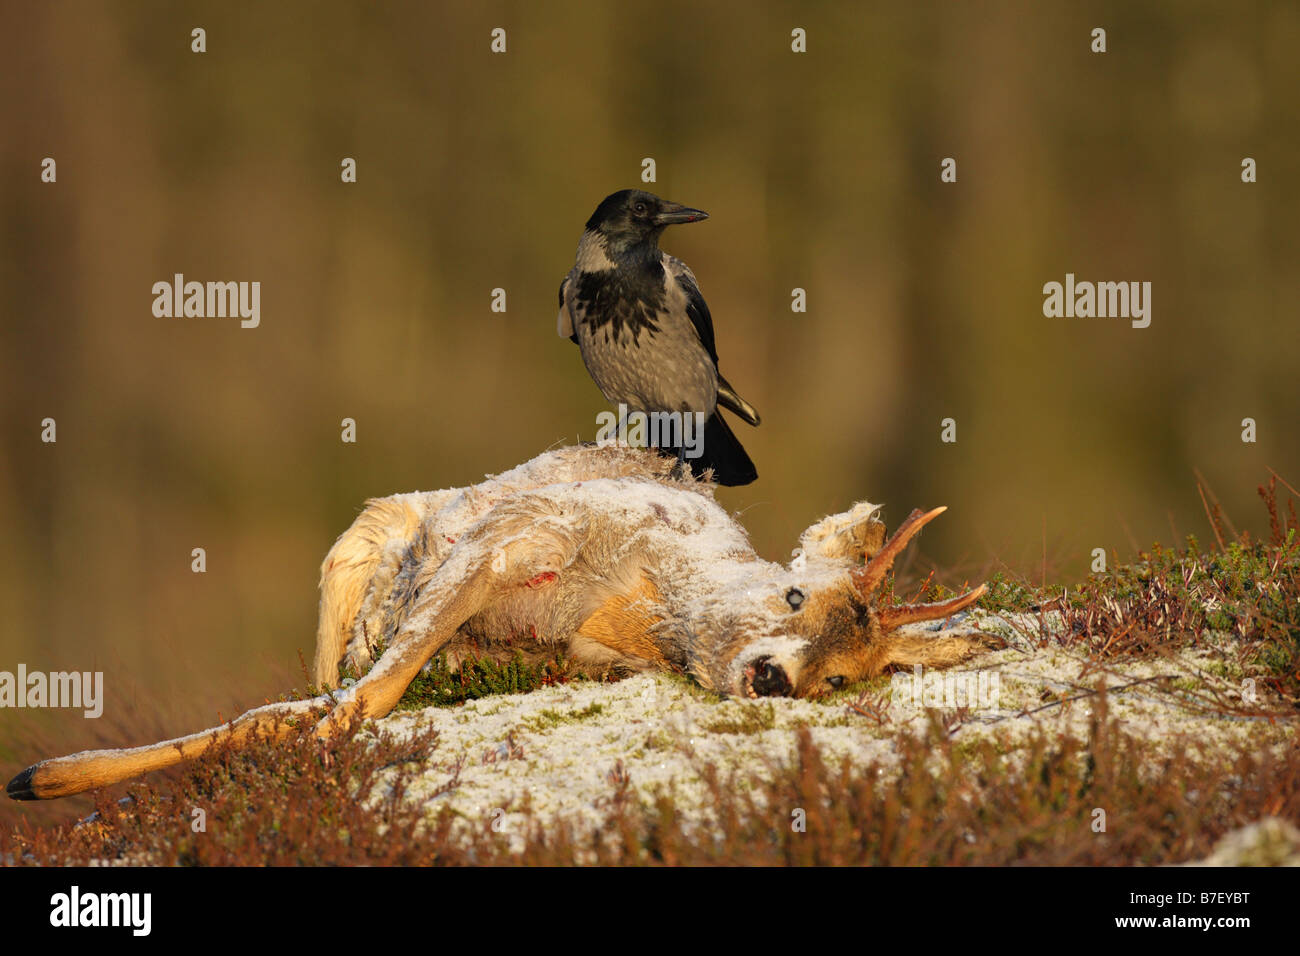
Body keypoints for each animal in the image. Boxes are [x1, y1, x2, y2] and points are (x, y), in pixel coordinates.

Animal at [6, 444, 993, 801]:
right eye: (796, 599)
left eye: (842, 675)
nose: (773, 675)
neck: (638, 594)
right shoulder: (512, 540)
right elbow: (365, 692)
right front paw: (46, 775)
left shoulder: (581, 648)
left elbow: (365, 694)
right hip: (355, 548)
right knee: (332, 659)